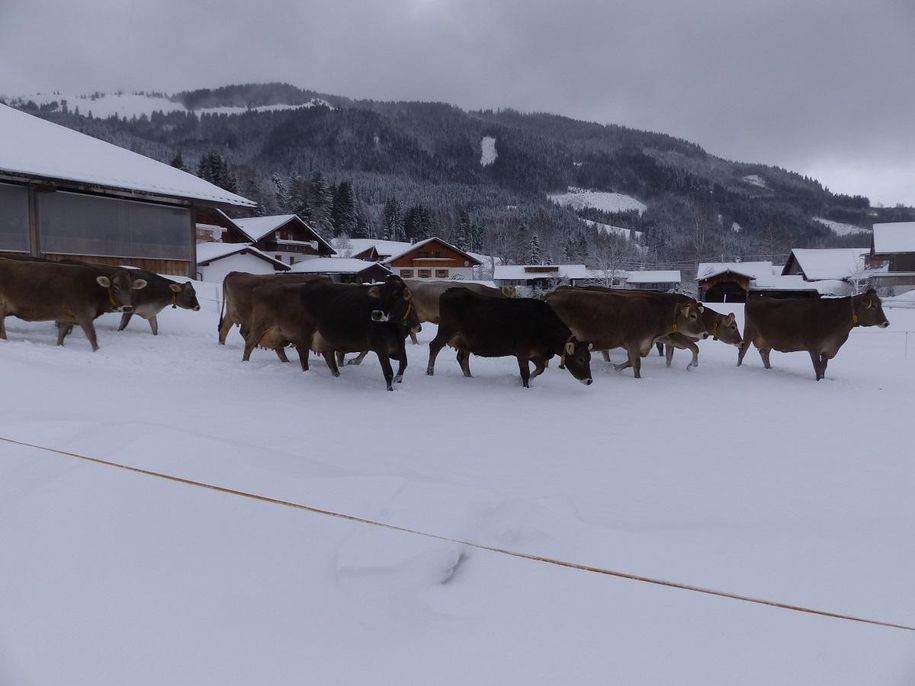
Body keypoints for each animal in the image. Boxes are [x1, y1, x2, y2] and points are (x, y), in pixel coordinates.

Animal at [0, 260, 146, 352]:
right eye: (115, 287)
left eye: (131, 288)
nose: (127, 308)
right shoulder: (83, 314)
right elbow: (92, 336)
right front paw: (97, 352)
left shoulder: (67, 317)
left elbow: (61, 335)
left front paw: (59, 347)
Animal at [426, 288, 592, 390]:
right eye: (580, 359)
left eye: (589, 358)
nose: (589, 380)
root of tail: (449, 291)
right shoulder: (522, 352)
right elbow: (525, 374)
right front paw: (525, 385)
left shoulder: (536, 354)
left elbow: (540, 369)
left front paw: (528, 381)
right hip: (447, 329)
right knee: (434, 346)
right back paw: (430, 372)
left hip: (465, 340)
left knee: (462, 357)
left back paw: (469, 377)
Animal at [544, 288, 708, 378]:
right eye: (693, 316)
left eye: (701, 315)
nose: (706, 334)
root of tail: (552, 294)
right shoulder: (633, 342)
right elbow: (636, 364)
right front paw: (638, 379)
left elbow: (630, 362)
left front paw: (613, 368)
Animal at [740, 286, 892, 378]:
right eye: (873, 306)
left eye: (880, 304)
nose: (886, 323)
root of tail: (755, 297)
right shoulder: (814, 347)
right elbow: (818, 370)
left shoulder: (828, 350)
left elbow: (823, 369)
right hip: (749, 332)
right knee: (742, 352)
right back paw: (739, 367)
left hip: (766, 340)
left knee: (764, 353)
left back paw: (769, 369)